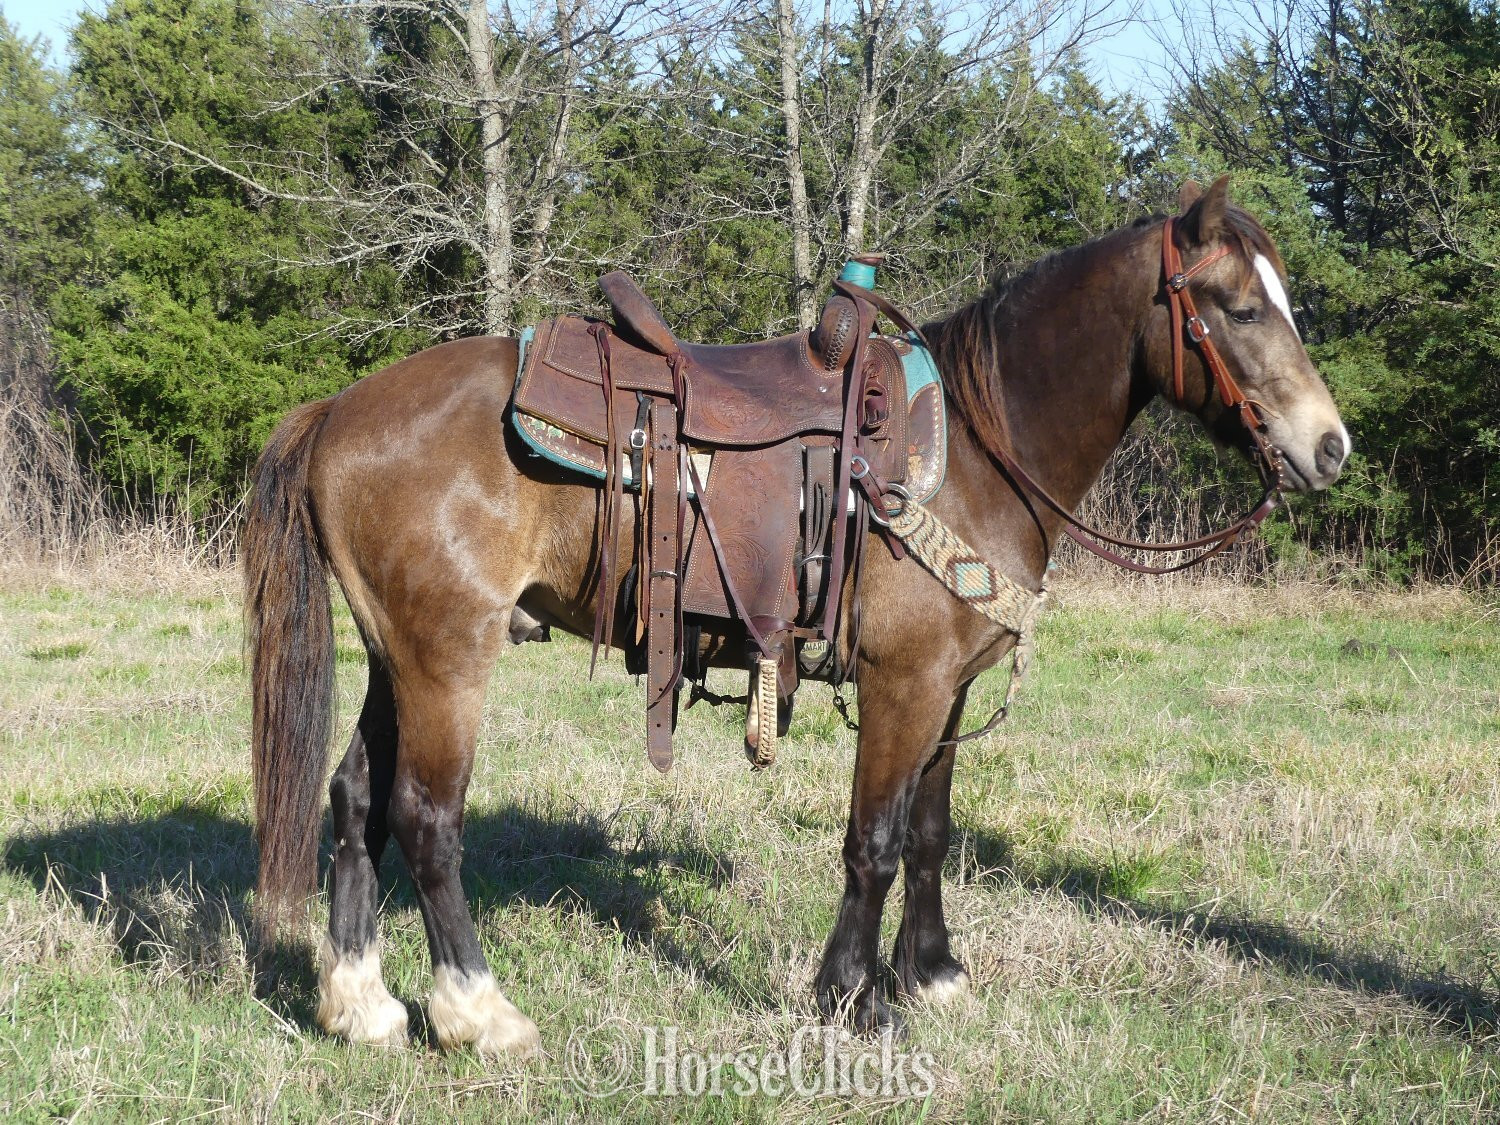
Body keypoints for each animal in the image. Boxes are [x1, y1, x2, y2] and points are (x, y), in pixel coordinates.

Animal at [243, 176, 1348, 1055]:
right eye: (1239, 308)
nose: (1330, 446)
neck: (979, 452)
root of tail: (338, 410)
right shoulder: (906, 685)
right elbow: (876, 841)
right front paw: (851, 999)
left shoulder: (948, 692)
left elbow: (932, 832)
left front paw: (932, 976)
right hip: (448, 657)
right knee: (427, 818)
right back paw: (479, 1013)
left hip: (396, 655)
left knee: (353, 797)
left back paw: (362, 1006)